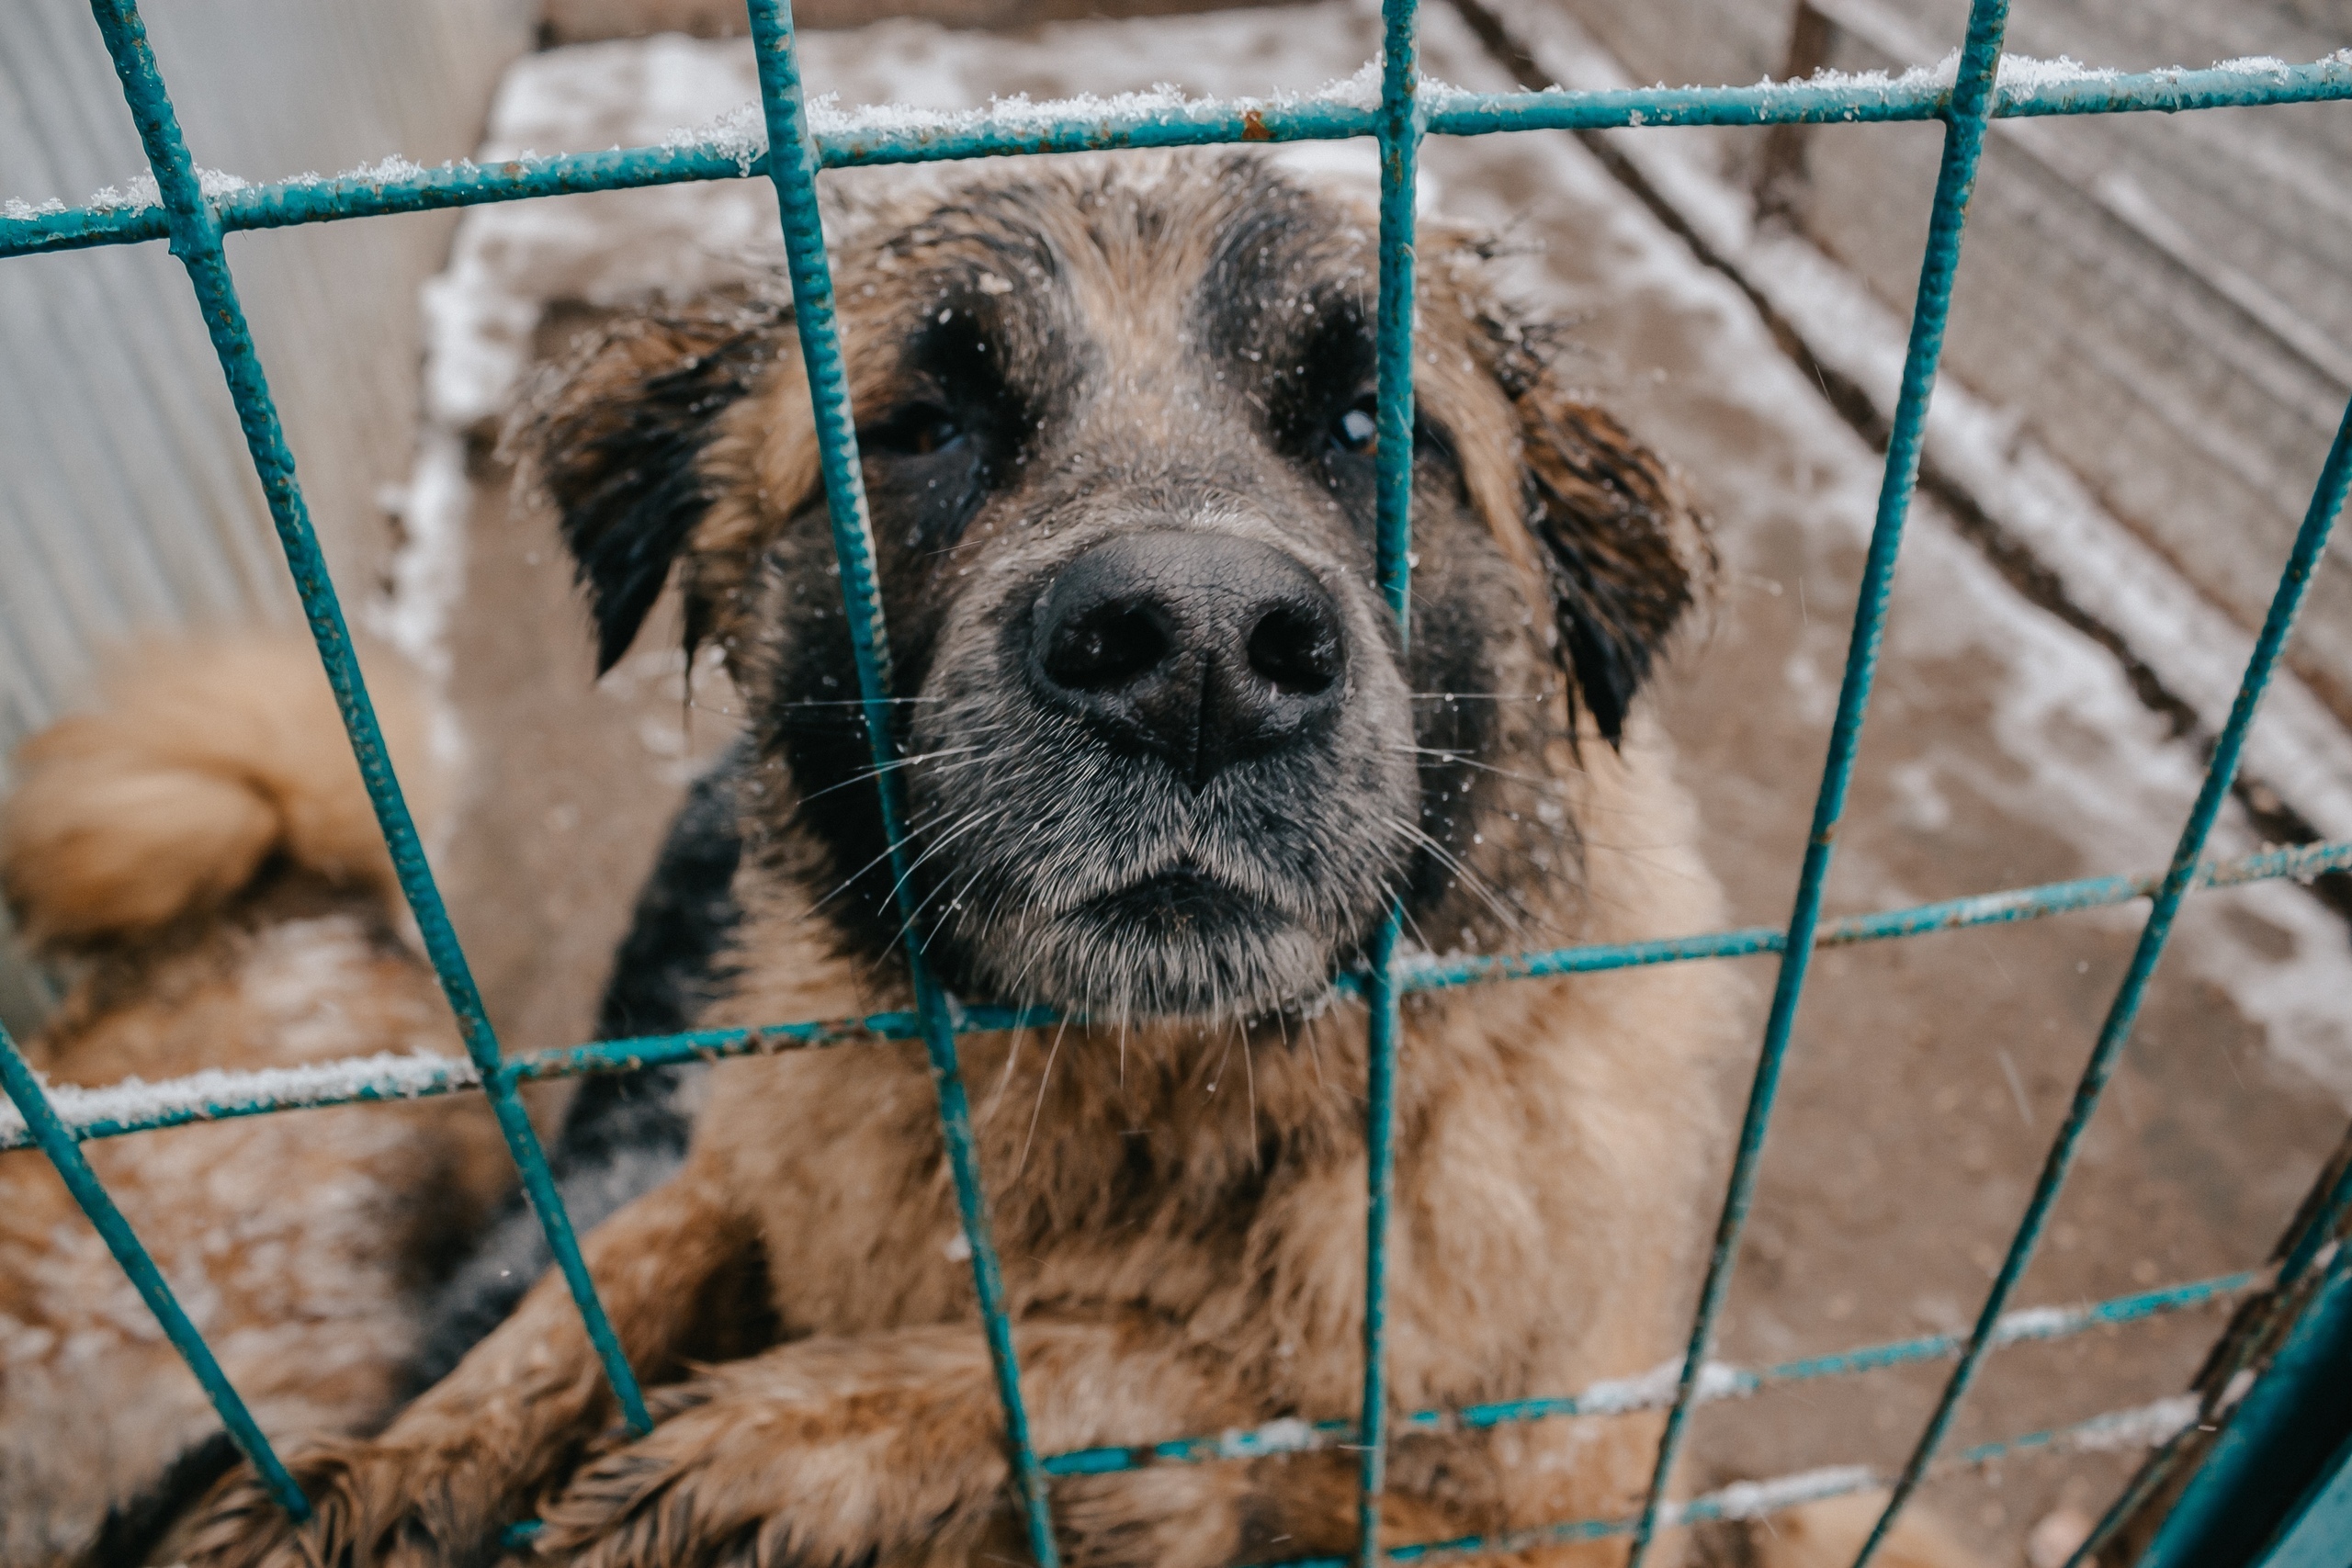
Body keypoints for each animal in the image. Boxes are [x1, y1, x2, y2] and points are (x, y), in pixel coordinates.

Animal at [187, 150, 1984, 1568]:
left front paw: (796, 1436)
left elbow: (1196, 1376)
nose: (1196, 655)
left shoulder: (1543, 1487)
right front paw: (387, 1469)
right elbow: (616, 1268)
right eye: (923, 424)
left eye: (1366, 421)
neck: (1157, 1098)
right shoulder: (752, 1162)